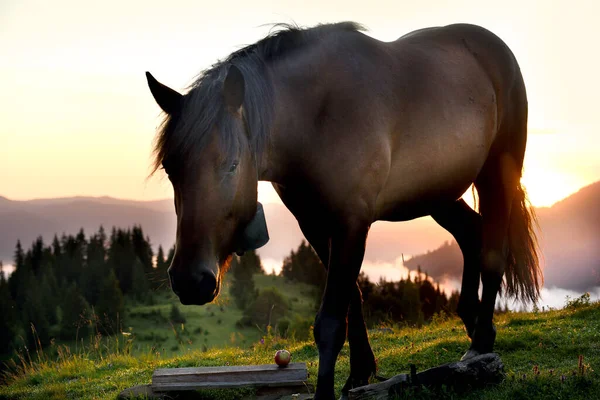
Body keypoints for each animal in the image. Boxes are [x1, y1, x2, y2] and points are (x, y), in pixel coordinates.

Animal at [146, 22, 544, 400]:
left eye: (231, 165)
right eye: (170, 168)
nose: (189, 281)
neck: (316, 119)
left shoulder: (352, 222)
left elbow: (332, 320)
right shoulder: (315, 225)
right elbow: (352, 299)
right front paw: (359, 373)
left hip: (496, 174)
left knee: (494, 251)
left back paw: (481, 341)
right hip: (437, 194)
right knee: (471, 233)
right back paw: (473, 326)